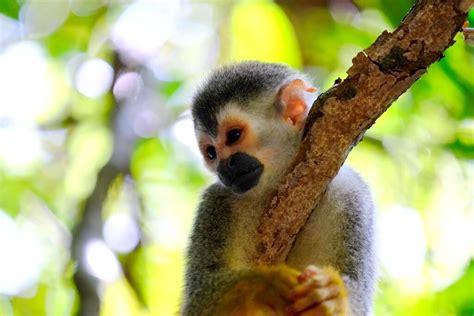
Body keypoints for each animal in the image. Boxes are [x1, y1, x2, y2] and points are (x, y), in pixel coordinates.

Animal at [183, 62, 376, 316]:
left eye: (234, 135)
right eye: (211, 153)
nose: (224, 168)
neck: (275, 183)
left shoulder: (351, 194)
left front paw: (332, 297)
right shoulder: (217, 201)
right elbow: (198, 304)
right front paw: (263, 285)